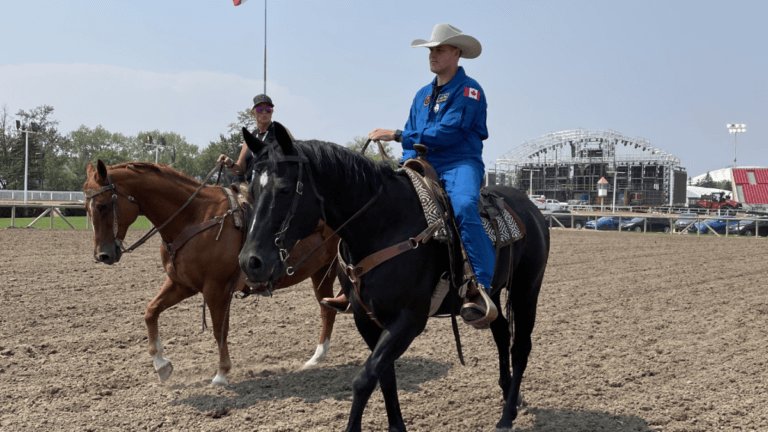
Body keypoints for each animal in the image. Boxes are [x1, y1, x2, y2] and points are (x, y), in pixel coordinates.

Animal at [82, 159, 342, 384]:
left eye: (103, 206)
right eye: (86, 207)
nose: (102, 255)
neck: (195, 217)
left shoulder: (217, 288)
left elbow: (219, 330)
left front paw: (221, 373)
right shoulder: (182, 284)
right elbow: (151, 311)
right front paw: (161, 365)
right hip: (322, 271)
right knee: (328, 310)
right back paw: (316, 358)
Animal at [238, 122, 544, 432]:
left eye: (285, 189)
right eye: (251, 189)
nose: (250, 262)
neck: (383, 226)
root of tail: (530, 207)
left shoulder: (408, 321)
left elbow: (364, 379)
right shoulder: (366, 319)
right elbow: (384, 377)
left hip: (527, 290)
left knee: (520, 348)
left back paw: (506, 416)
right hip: (493, 294)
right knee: (502, 331)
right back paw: (511, 398)